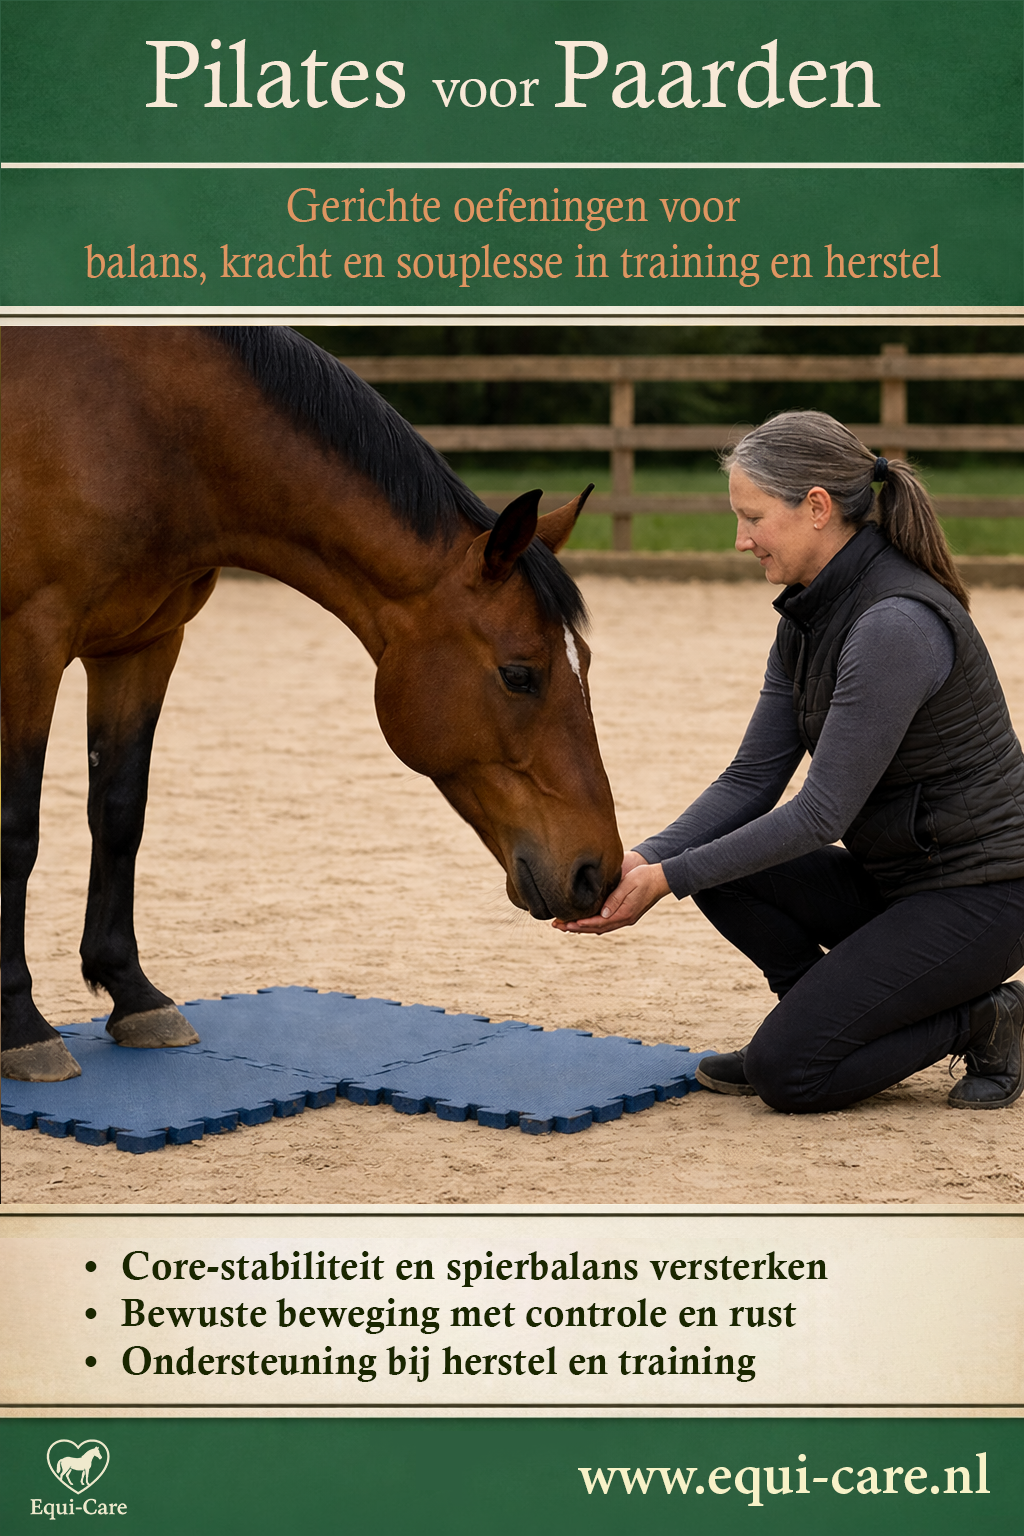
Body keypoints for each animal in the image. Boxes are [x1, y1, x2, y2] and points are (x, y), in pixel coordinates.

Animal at [2, 327, 622, 1083]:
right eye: (519, 675)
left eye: (583, 661)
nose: (598, 872)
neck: (142, 427)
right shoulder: (30, 643)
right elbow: (17, 832)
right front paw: (21, 1026)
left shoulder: (143, 644)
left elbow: (119, 813)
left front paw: (135, 995)